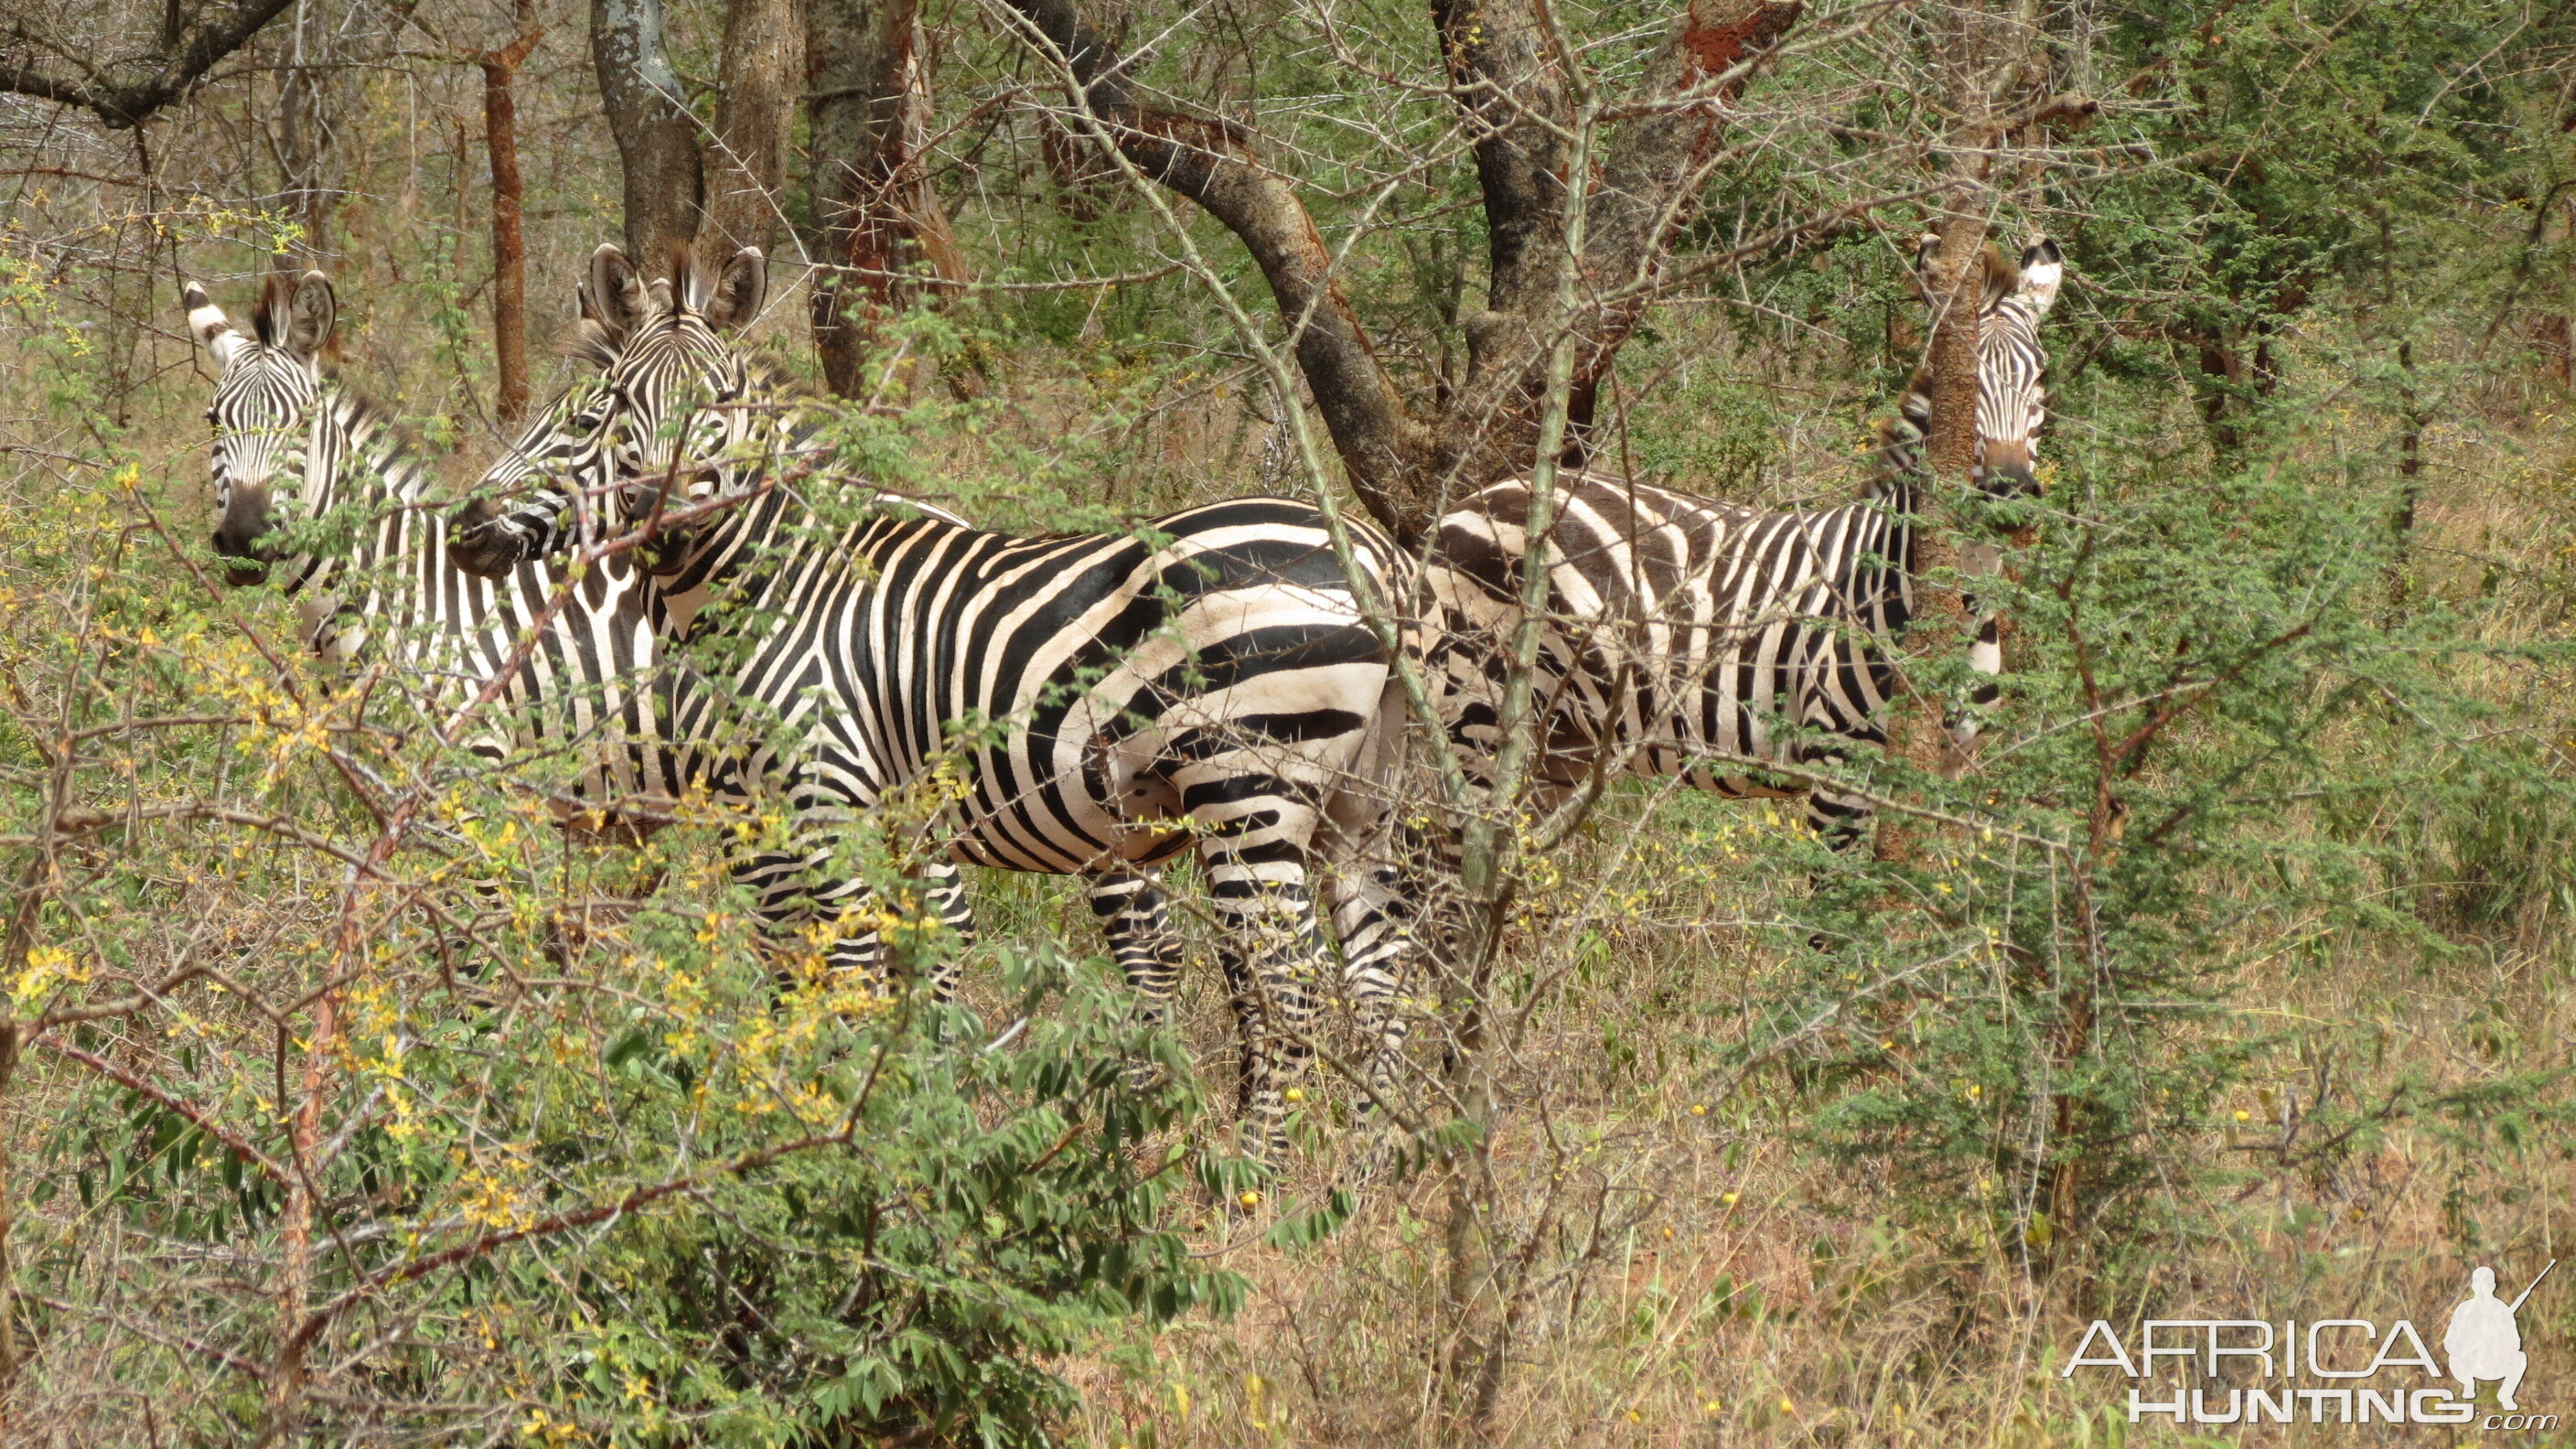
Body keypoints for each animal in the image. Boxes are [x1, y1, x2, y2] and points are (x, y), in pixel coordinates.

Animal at [181, 265, 979, 974]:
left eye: (297, 426)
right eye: (215, 421)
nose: (244, 540)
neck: (406, 597)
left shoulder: (478, 774)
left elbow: (476, 942)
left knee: (945, 924)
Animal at [440, 247, 1411, 1150]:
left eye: (719, 402)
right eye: (609, 409)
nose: (467, 525)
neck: (779, 584)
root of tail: (1380, 559)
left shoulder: (821, 803)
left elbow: (848, 973)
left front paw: (834, 1138)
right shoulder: (872, 823)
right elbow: (877, 971)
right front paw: (883, 1119)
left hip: (1248, 787)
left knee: (1290, 992)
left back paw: (1259, 1187)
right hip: (1362, 806)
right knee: (1379, 979)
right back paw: (1367, 1178)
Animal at [1422, 234, 2060, 835]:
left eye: (2040, 379)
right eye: (1961, 389)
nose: (2008, 495)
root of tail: (1477, 497)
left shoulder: (1950, 776)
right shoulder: (1840, 769)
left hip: (1560, 742)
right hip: (1476, 715)